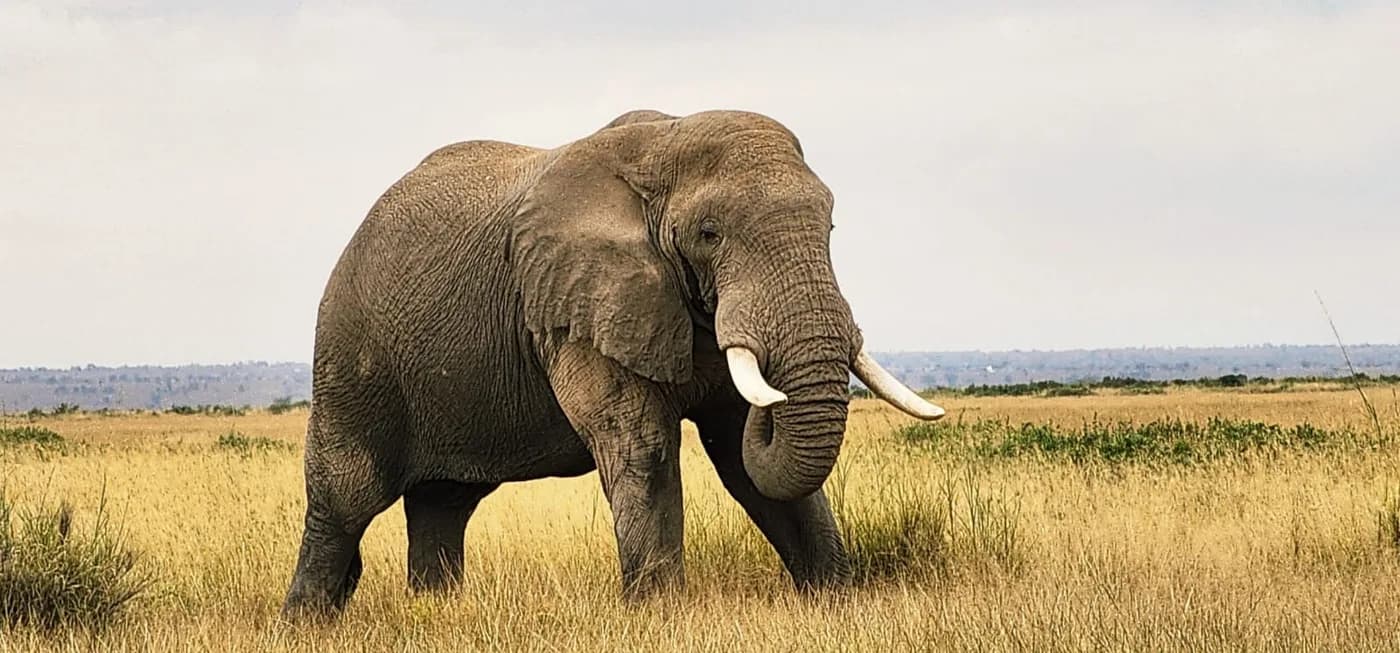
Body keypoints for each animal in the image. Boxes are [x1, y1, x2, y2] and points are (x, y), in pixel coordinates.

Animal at [280, 109, 946, 618]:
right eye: (709, 233)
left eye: (830, 226)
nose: (776, 397)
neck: (665, 142)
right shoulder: (574, 303)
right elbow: (643, 444)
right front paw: (661, 618)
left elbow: (740, 459)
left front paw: (834, 602)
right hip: (350, 354)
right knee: (347, 497)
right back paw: (307, 623)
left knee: (443, 504)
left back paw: (436, 611)